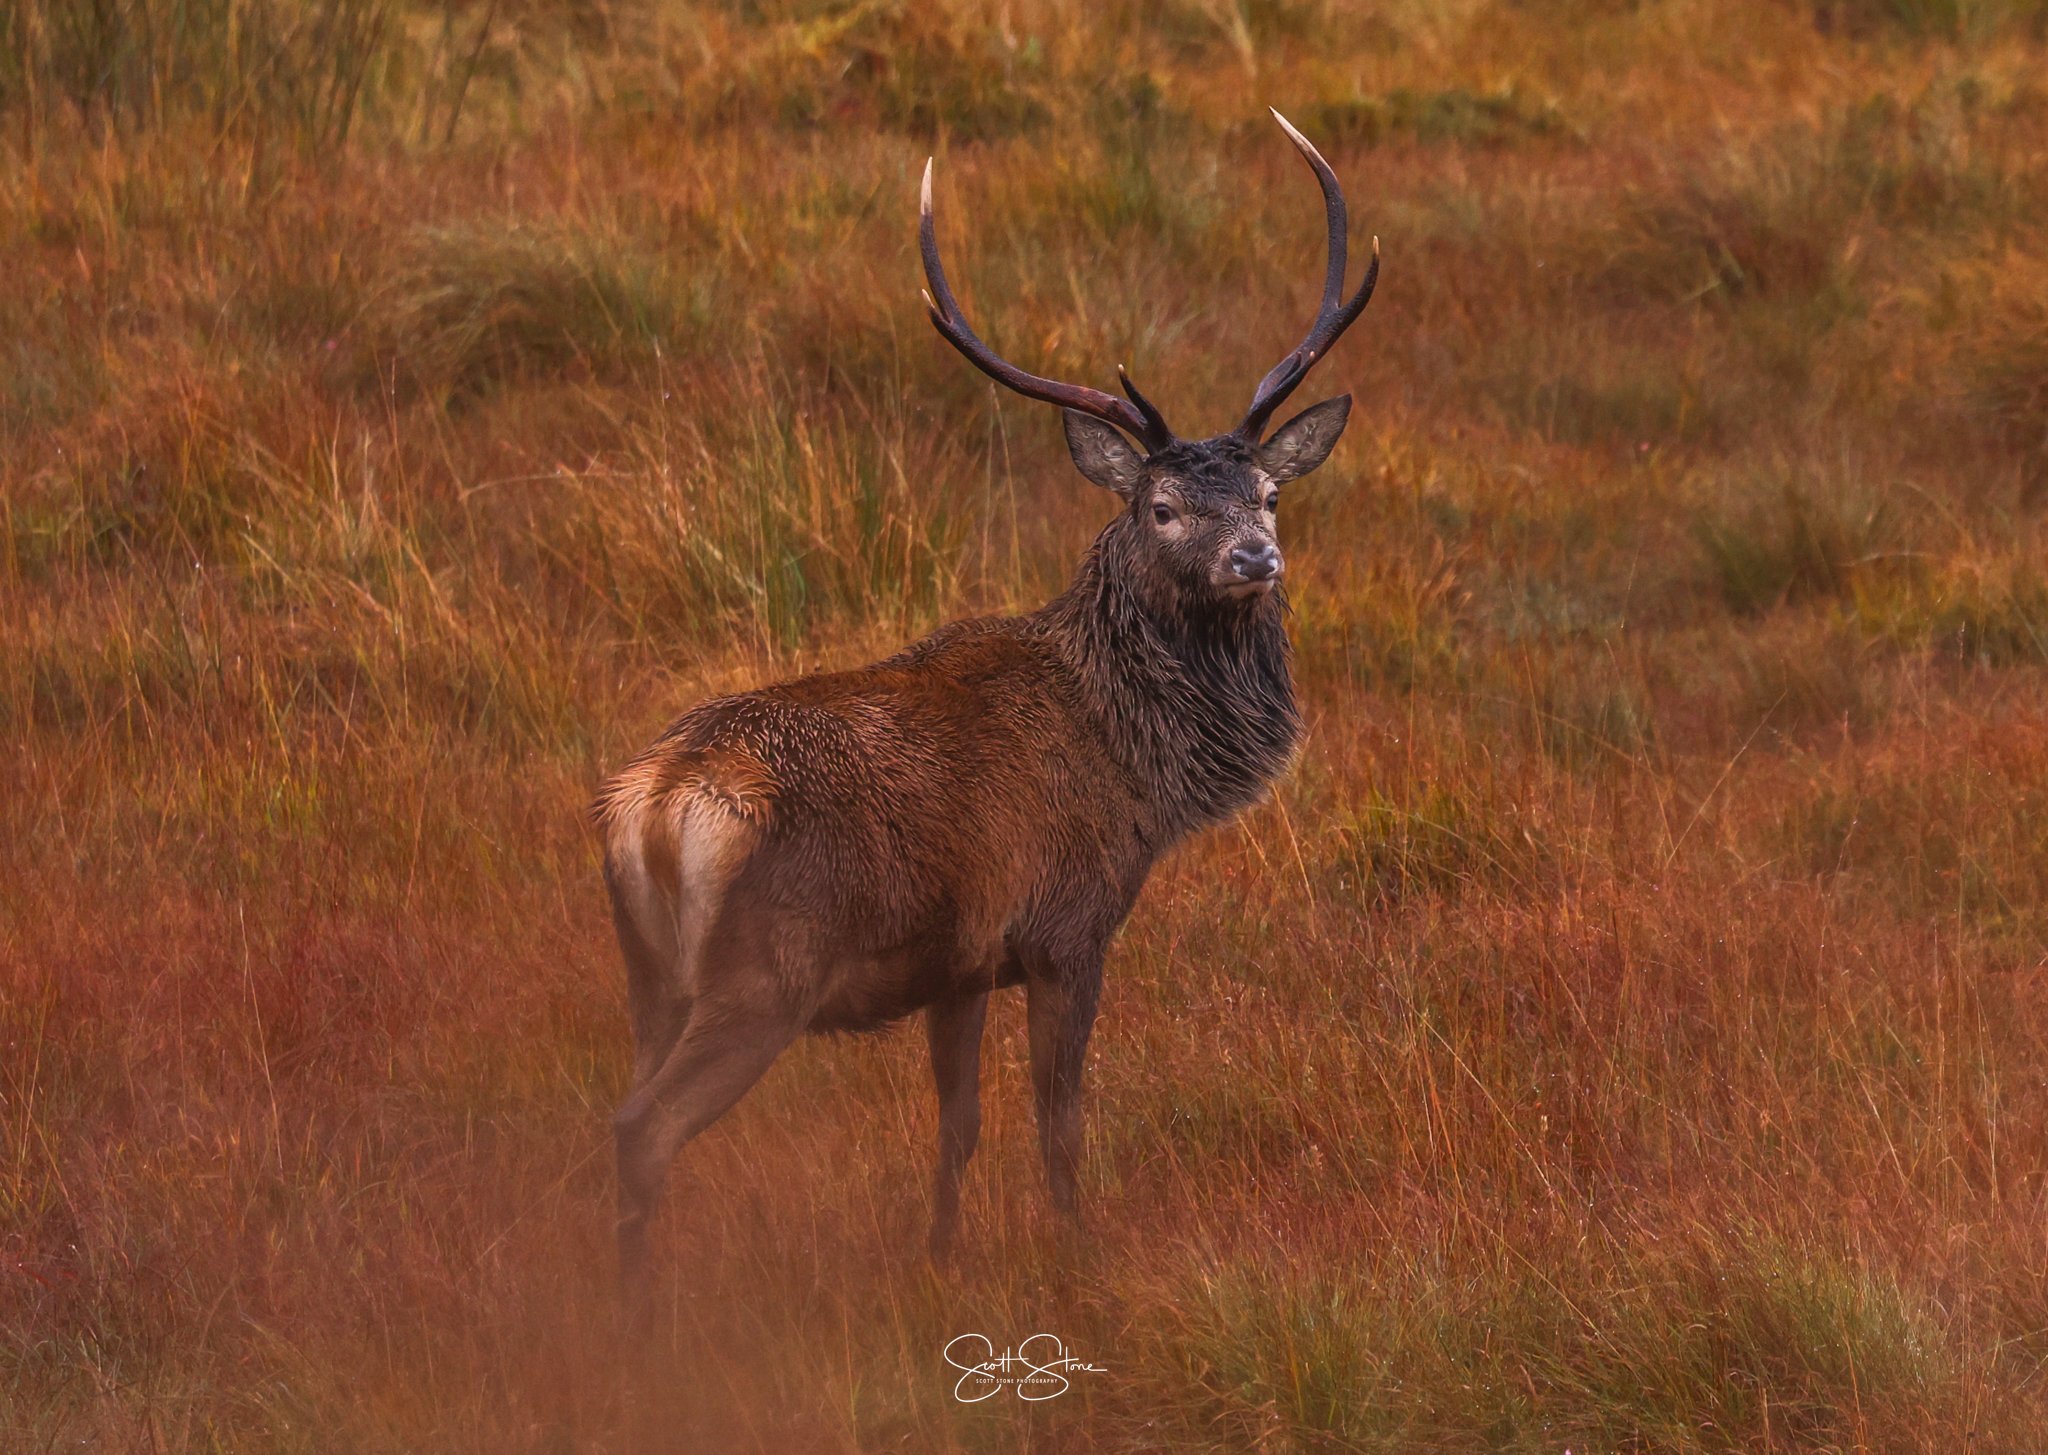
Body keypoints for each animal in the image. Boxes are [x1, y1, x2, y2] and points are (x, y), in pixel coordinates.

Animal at [591, 110, 1377, 1296]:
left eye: (1269, 492)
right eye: (1160, 506)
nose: (1255, 559)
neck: (1136, 771)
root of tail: (653, 802)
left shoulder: (955, 964)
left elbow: (955, 1126)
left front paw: (938, 1253)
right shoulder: (1066, 929)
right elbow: (1059, 1125)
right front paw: (1079, 1256)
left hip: (647, 974)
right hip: (761, 974)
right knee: (643, 1129)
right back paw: (636, 1314)